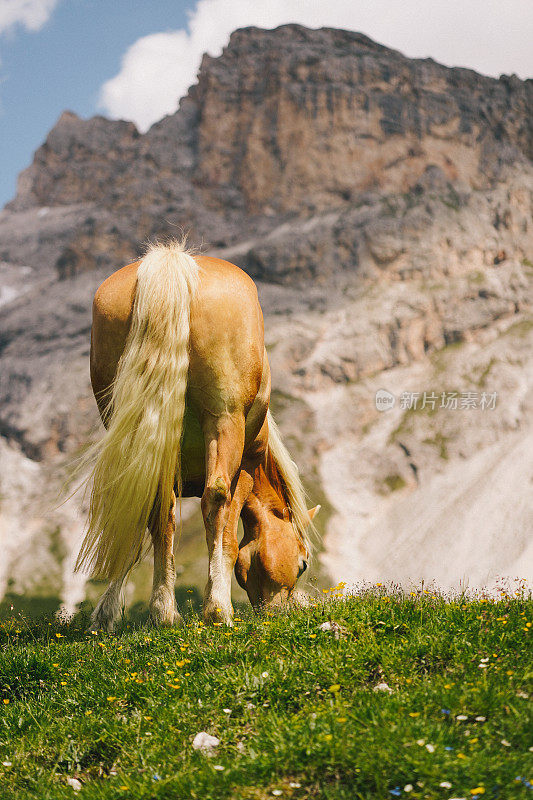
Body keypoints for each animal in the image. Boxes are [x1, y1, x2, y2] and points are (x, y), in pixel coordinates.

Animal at [76, 241, 318, 628]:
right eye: (303, 562)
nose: (282, 613)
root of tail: (174, 261)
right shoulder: (245, 467)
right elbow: (229, 536)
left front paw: (106, 613)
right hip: (224, 421)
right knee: (214, 497)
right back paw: (217, 609)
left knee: (148, 505)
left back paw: (161, 612)